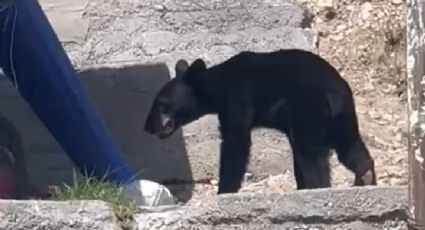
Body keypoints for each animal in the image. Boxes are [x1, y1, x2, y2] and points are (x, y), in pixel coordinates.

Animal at [144, 49, 376, 194]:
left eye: (160, 103)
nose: (147, 126)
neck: (217, 84)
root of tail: (337, 92)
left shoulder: (238, 96)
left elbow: (235, 142)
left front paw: (224, 190)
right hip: (343, 118)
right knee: (350, 147)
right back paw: (365, 177)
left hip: (309, 109)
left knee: (309, 154)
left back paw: (316, 187)